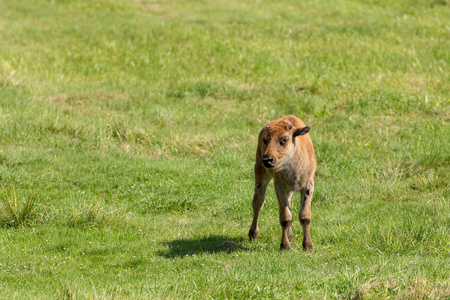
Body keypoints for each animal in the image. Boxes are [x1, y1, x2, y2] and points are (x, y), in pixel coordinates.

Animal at [250, 115, 316, 251]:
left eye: (284, 139)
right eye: (265, 140)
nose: (267, 160)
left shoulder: (308, 186)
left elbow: (304, 216)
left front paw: (308, 246)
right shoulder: (280, 186)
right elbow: (285, 217)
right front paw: (285, 246)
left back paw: (292, 238)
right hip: (260, 172)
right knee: (258, 203)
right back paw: (253, 234)